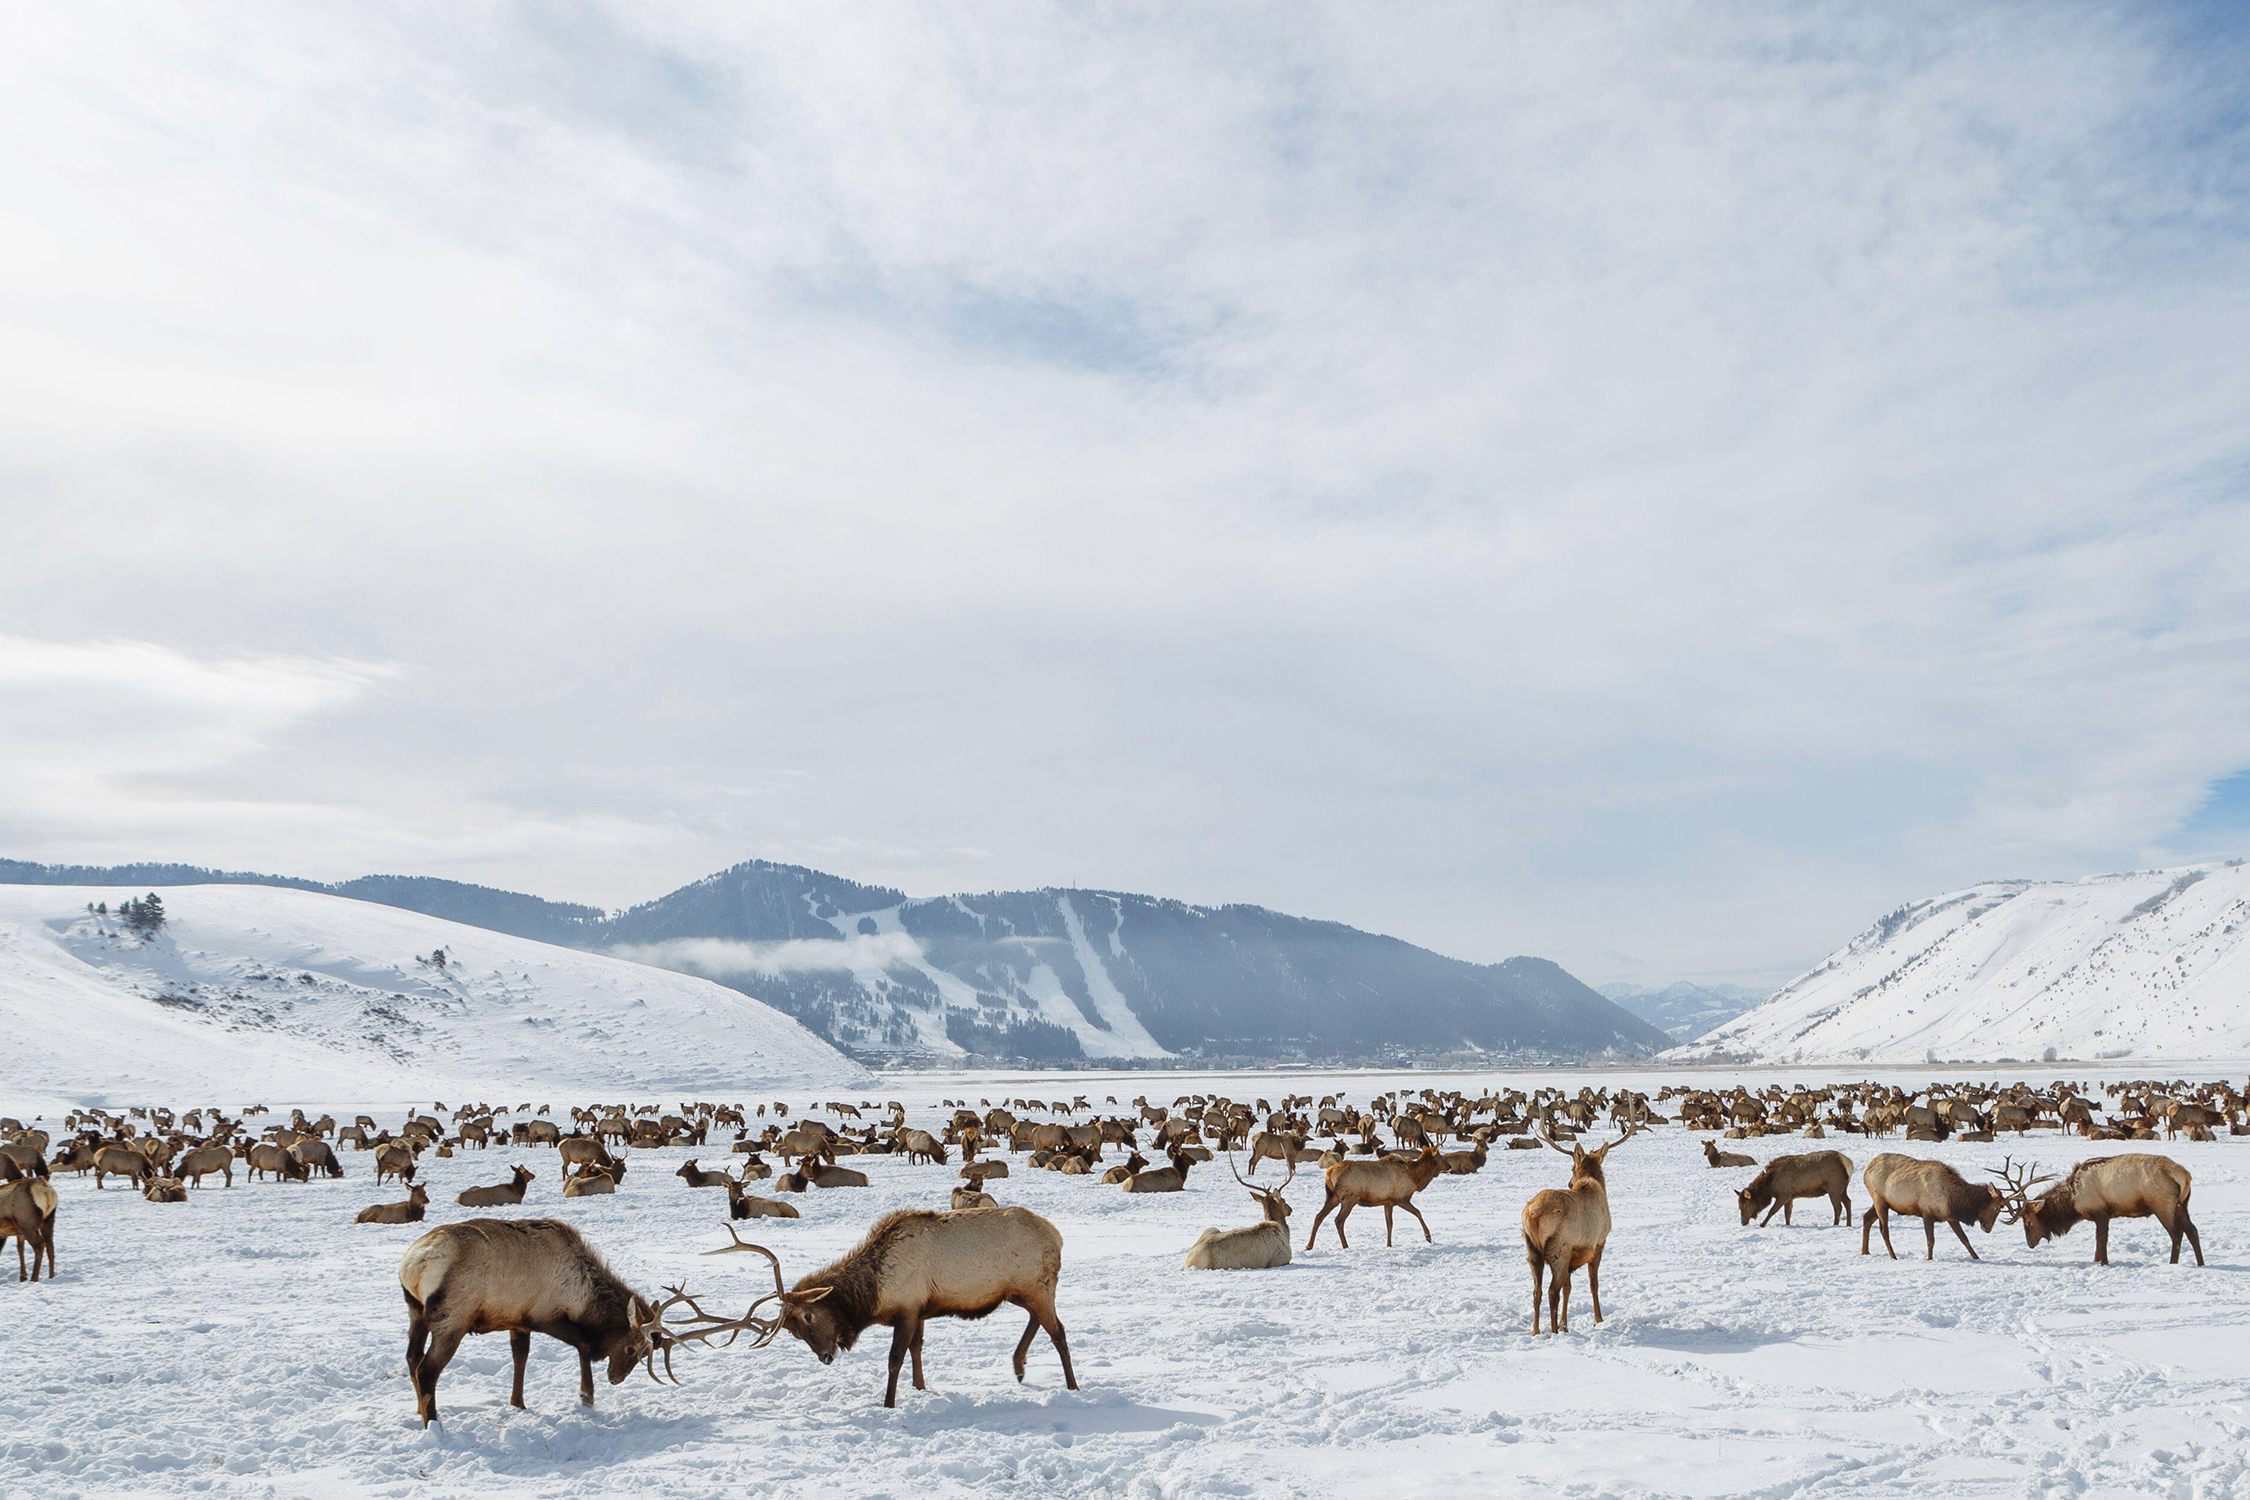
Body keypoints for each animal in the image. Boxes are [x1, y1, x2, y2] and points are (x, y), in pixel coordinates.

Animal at [715, 1205, 1075, 1412]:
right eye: (793, 1332)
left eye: (808, 1314)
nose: (826, 1356)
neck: (873, 1292)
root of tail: (1057, 1236)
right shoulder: (921, 1309)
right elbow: (917, 1348)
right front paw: (920, 1387)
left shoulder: (907, 1308)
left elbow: (895, 1359)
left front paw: (888, 1404)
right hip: (1020, 1290)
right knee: (1037, 1319)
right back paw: (1018, 1365)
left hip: (1036, 1284)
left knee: (1058, 1331)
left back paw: (1072, 1385)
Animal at [1305, 1142, 1440, 1250]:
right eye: (1440, 1156)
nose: (1446, 1166)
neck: (1415, 1178)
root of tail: (1328, 1173)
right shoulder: (1401, 1199)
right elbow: (1418, 1212)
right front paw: (1428, 1237)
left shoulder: (1388, 1202)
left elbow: (1389, 1224)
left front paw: (1389, 1245)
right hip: (1349, 1198)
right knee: (1338, 1220)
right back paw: (1345, 1246)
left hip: (1332, 1197)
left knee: (1319, 1216)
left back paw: (1309, 1245)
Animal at [1512, 1124, 1638, 1340]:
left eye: (1572, 1168)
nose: (1569, 1183)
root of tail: (1533, 1214)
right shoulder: (1598, 1243)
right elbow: (1593, 1284)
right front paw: (1598, 1319)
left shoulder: (1572, 1256)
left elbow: (1568, 1288)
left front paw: (1565, 1324)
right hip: (1558, 1249)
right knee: (1551, 1292)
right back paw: (1553, 1331)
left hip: (1532, 1249)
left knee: (1537, 1291)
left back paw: (1536, 1331)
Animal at [1854, 1160, 1998, 1259]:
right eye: (1997, 1208)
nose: (1988, 1229)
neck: (1953, 1200)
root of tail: (1866, 1170)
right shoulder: (1927, 1213)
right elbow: (1930, 1241)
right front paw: (1929, 1259)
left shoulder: (1950, 1217)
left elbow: (1964, 1239)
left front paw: (1977, 1258)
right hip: (1879, 1200)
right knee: (1884, 1230)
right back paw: (1893, 1256)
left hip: (1882, 1202)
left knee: (1866, 1217)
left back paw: (1865, 1251)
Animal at [1998, 1151, 2205, 1268]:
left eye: (2028, 1222)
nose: (2030, 1244)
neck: (2073, 1200)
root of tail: (2184, 1174)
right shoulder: (2103, 1214)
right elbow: (2099, 1240)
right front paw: (2097, 1261)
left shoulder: (2100, 1212)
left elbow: (2101, 1239)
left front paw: (2103, 1262)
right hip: (2182, 1205)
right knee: (2192, 1230)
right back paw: (2201, 1263)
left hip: (2162, 1203)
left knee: (2176, 1233)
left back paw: (2173, 1264)